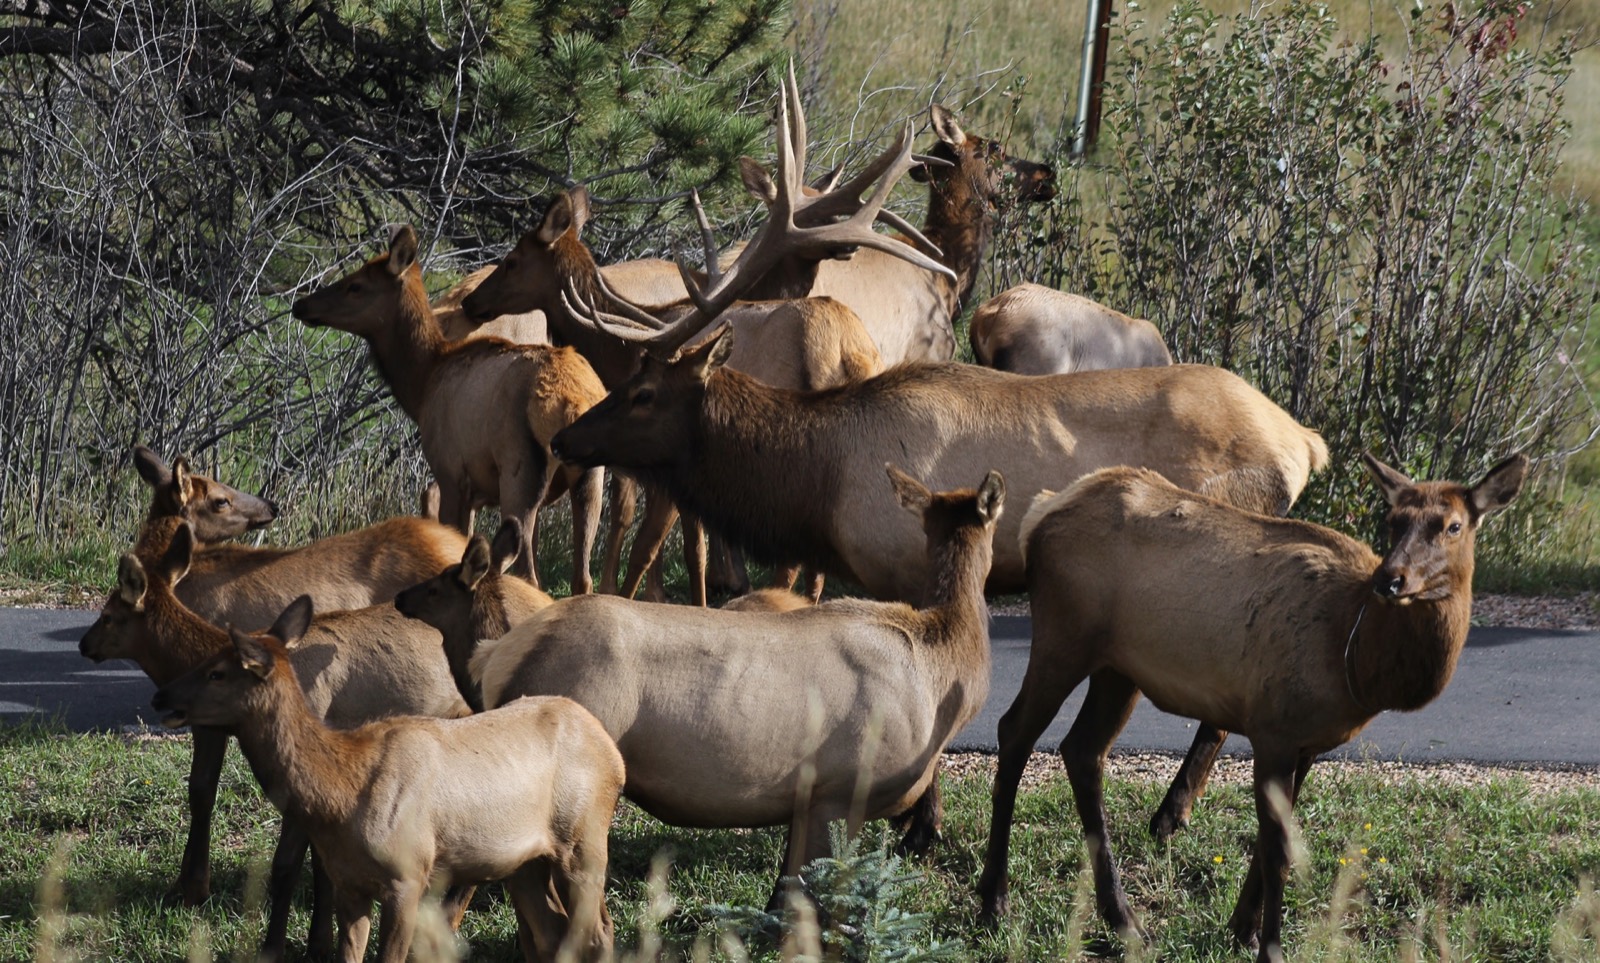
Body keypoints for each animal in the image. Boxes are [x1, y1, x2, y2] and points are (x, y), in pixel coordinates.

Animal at [79, 521, 474, 961]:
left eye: (108, 615)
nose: (84, 643)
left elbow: (285, 864)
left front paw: (274, 944)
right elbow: (322, 867)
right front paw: (319, 941)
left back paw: (450, 918)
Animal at [150, 613, 623, 963]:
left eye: (216, 672)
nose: (160, 697)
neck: (343, 793)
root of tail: (613, 756)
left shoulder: (408, 875)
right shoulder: (349, 884)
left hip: (584, 839)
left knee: (599, 930)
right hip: (524, 863)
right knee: (552, 932)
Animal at [292, 224, 609, 592]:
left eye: (355, 285)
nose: (301, 304)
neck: (422, 383)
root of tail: (571, 405)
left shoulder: (452, 475)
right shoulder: (477, 490)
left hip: (520, 472)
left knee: (530, 575)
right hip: (590, 479)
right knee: (583, 578)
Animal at [976, 454, 1527, 963]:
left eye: (1453, 525)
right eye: (1393, 520)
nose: (1391, 579)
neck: (1356, 658)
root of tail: (1040, 515)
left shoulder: (1306, 743)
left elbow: (1268, 845)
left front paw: (1241, 929)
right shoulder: (1273, 728)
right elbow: (1280, 852)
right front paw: (1269, 946)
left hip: (1118, 669)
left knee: (1082, 750)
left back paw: (1124, 921)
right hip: (1064, 639)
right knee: (1015, 731)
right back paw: (994, 901)